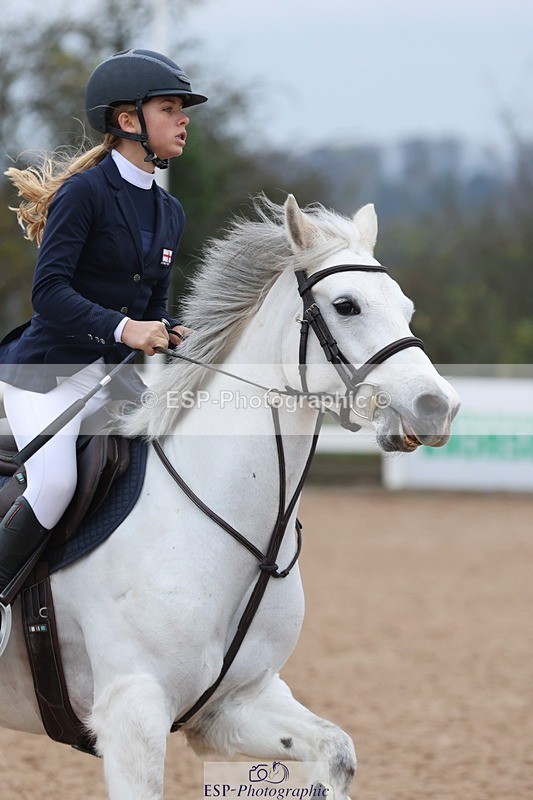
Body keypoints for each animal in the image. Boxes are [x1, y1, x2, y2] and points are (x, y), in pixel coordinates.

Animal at [0, 194, 460, 799]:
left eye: (405, 308)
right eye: (346, 305)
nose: (438, 407)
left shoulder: (235, 704)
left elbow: (334, 750)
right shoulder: (132, 712)